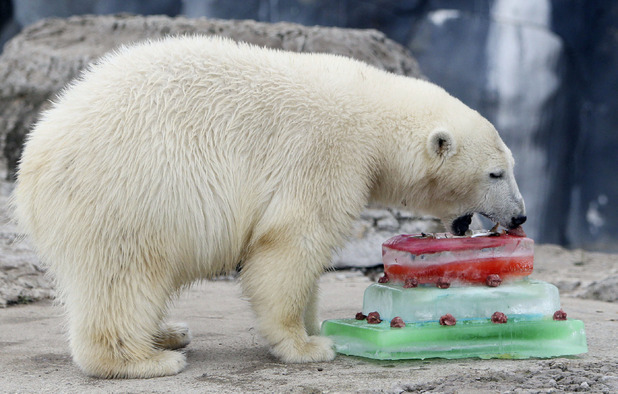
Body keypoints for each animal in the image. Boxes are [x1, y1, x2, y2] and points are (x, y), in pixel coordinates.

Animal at [12, 37, 524, 378]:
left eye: (509, 167)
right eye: (495, 173)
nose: (519, 216)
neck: (373, 115)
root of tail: (33, 160)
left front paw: (314, 327)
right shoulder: (324, 152)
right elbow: (291, 242)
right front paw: (308, 344)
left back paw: (168, 332)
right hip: (128, 191)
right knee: (123, 274)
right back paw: (147, 358)